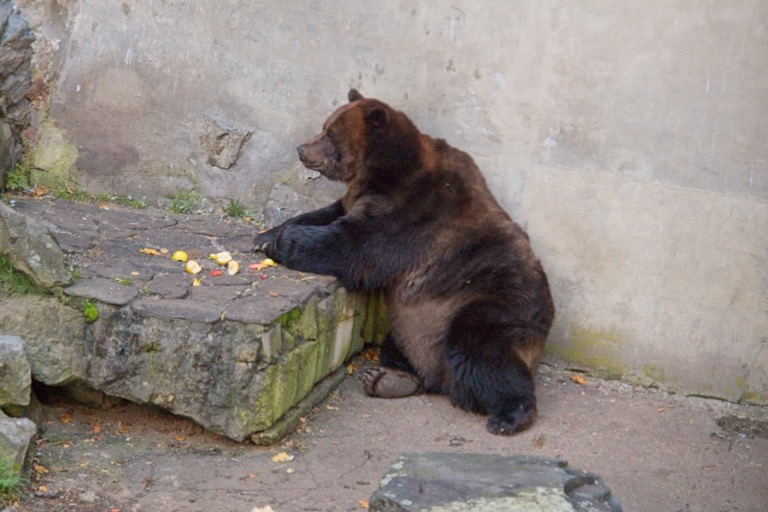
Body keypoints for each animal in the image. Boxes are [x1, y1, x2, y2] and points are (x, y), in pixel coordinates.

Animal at [254, 89, 554, 435]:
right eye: (324, 126)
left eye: (330, 134)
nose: (302, 149)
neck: (379, 171)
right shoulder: (362, 199)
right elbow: (327, 213)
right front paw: (265, 235)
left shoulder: (408, 213)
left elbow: (352, 245)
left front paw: (283, 241)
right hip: (418, 321)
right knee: (404, 347)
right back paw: (390, 379)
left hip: (495, 303)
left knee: (480, 348)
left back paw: (510, 415)